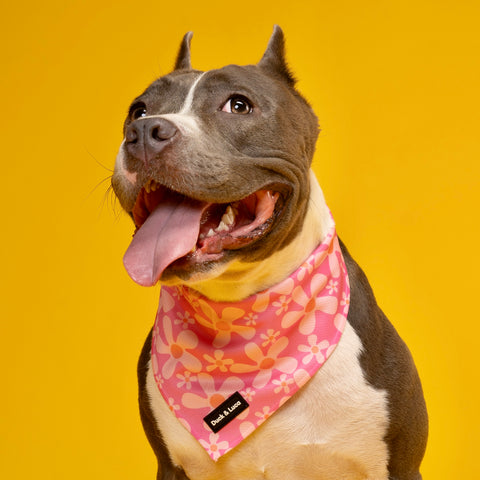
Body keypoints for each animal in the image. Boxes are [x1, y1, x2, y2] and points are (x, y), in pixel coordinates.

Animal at [112, 25, 428, 480]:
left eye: (238, 105)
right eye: (137, 110)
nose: (143, 133)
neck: (243, 316)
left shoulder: (400, 465)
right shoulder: (169, 466)